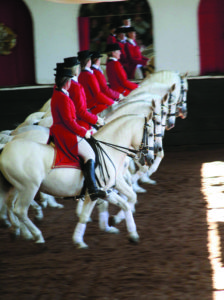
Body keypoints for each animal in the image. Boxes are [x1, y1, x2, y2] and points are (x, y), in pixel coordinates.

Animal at [0, 113, 154, 248]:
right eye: (151, 134)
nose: (150, 158)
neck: (108, 149)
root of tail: (6, 147)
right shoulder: (93, 194)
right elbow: (85, 216)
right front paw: (79, 241)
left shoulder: (106, 191)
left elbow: (125, 203)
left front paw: (132, 234)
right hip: (29, 188)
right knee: (20, 210)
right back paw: (37, 236)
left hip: (15, 187)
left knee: (11, 206)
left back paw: (20, 231)